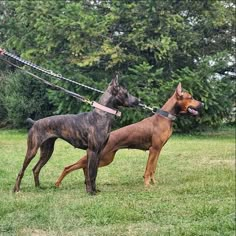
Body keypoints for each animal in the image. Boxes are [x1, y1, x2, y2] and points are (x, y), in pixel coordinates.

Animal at [55, 83, 203, 188]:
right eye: (190, 97)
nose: (202, 103)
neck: (165, 117)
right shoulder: (153, 149)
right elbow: (148, 169)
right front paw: (147, 185)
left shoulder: (158, 150)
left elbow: (153, 168)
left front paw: (154, 183)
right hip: (100, 156)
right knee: (69, 167)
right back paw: (58, 183)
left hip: (105, 159)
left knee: (84, 167)